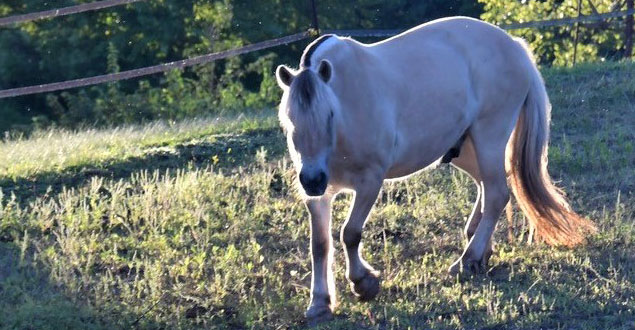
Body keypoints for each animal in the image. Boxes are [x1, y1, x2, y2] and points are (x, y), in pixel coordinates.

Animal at [274, 16, 596, 322]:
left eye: (329, 114)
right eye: (289, 119)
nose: (313, 179)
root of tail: (514, 45)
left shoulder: (370, 181)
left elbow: (350, 233)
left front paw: (363, 283)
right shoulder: (319, 196)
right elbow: (320, 244)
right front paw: (319, 303)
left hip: (489, 136)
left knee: (496, 194)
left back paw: (467, 260)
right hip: (466, 148)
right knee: (487, 186)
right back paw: (479, 251)